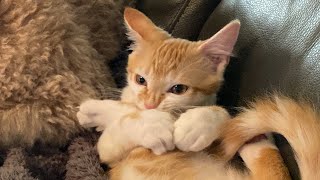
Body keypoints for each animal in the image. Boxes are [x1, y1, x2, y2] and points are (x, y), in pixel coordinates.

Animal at [77, 7, 290, 179]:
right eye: (141, 80)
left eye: (178, 89)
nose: (150, 104)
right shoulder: (108, 150)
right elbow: (124, 119)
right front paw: (149, 123)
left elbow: (223, 113)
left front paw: (196, 125)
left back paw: (259, 142)